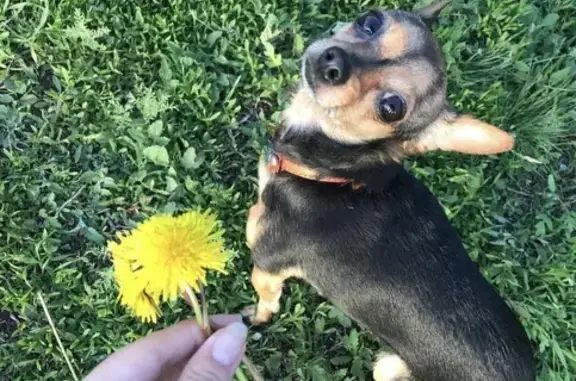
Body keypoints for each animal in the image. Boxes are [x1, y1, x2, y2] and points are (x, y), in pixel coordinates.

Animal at [242, 2, 536, 380]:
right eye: (370, 21)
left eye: (391, 108)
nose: (333, 61)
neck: (333, 173)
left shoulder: (266, 268)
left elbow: (267, 300)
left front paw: (257, 318)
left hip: (387, 366)